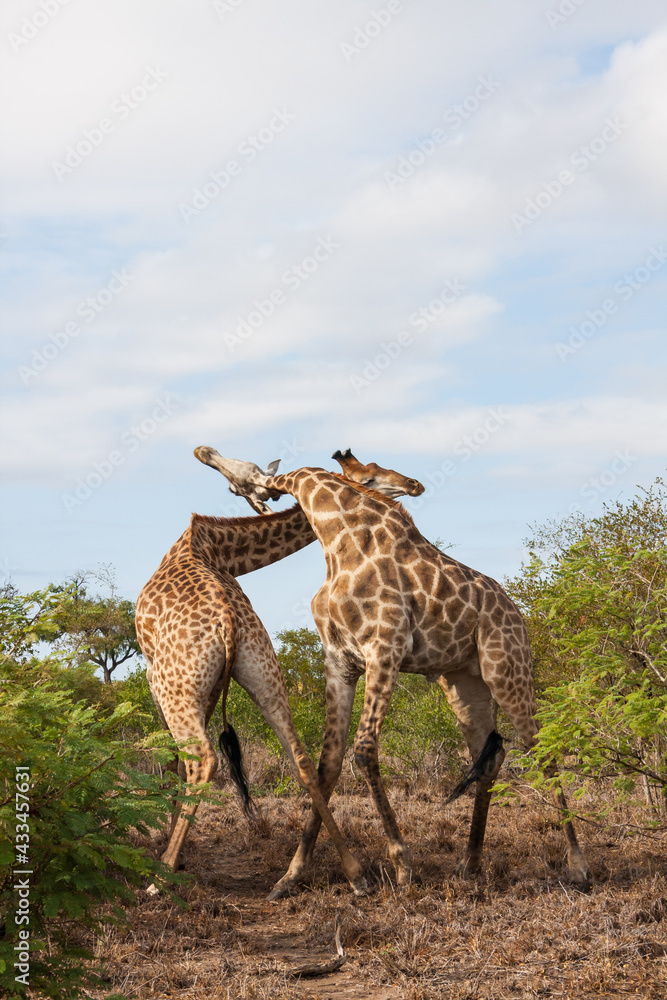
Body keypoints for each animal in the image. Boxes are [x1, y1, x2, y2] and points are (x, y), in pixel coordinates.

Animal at [135, 448, 424, 898]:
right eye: (370, 475)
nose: (412, 485)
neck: (217, 549)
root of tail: (227, 622)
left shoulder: (154, 676)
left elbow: (176, 764)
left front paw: (175, 855)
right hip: (262, 670)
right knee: (302, 758)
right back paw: (354, 874)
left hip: (178, 686)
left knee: (203, 760)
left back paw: (160, 878)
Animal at [207, 458, 591, 898]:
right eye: (370, 476)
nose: (413, 484)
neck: (338, 543)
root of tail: (517, 613)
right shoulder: (340, 663)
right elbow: (328, 764)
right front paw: (292, 875)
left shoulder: (384, 649)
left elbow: (364, 751)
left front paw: (403, 866)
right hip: (463, 683)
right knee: (490, 756)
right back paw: (469, 864)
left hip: (506, 668)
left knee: (542, 749)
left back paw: (578, 868)